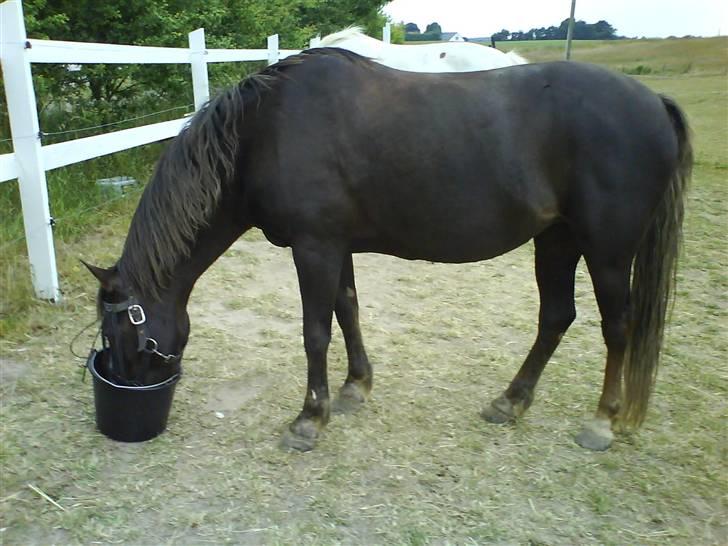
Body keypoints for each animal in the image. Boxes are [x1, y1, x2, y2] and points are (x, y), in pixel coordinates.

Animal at [84, 49, 688, 450]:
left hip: (608, 253)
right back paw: (510, 402)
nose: (124, 402)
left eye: (120, 332)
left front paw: (310, 418)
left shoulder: (314, 247)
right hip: (556, 240)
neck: (266, 130)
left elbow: (315, 330)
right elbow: (348, 311)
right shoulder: (336, 246)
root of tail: (652, 101)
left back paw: (601, 421)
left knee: (617, 328)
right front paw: (356, 388)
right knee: (557, 316)